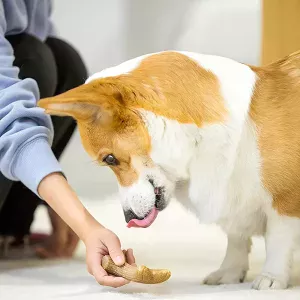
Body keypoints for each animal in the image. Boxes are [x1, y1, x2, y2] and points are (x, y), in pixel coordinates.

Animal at [38, 50, 300, 290]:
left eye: (110, 159)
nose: (128, 218)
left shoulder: (285, 204)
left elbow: (277, 241)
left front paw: (271, 278)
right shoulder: (229, 198)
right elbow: (236, 239)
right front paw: (229, 274)